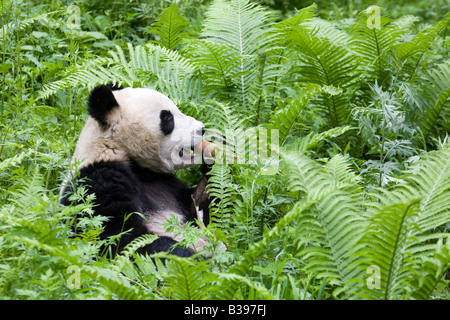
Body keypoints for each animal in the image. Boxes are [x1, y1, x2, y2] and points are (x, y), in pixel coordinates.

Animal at [61, 84, 214, 258]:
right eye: (167, 118)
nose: (201, 129)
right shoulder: (95, 183)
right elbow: (125, 239)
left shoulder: (164, 182)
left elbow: (200, 209)